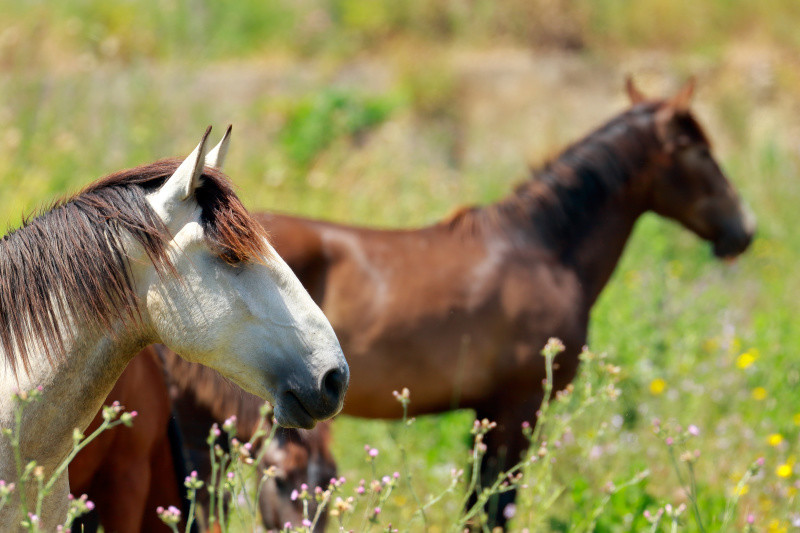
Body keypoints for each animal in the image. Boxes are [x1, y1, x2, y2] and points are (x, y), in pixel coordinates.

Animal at [258, 80, 756, 528]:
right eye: (700, 150)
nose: (744, 229)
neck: (542, 250)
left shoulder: (488, 411)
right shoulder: (519, 407)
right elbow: (495, 507)